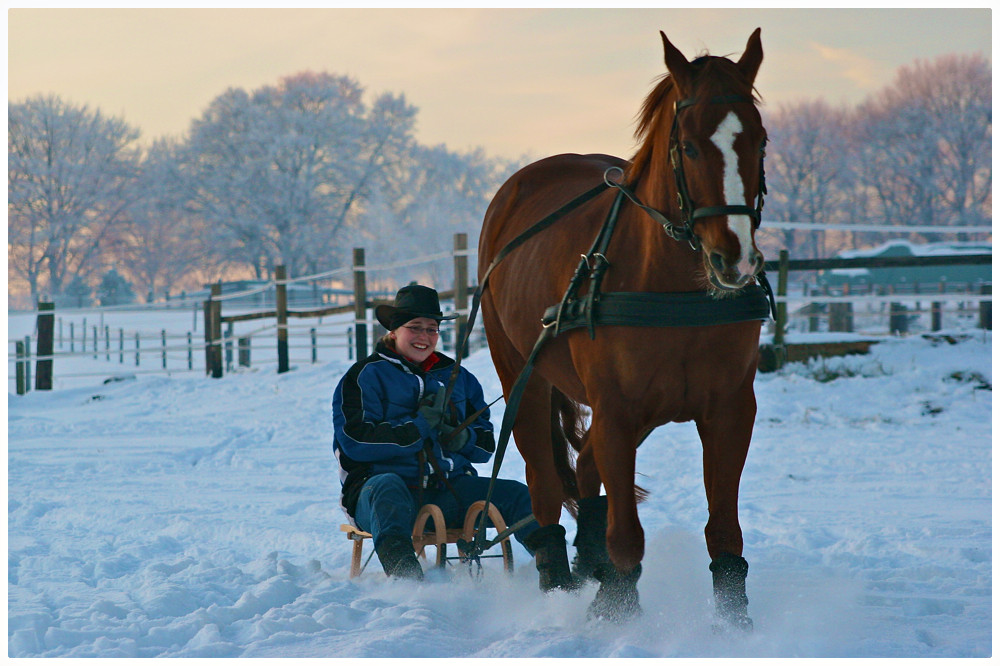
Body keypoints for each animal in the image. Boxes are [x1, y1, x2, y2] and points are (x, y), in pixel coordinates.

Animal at [476, 28, 764, 624]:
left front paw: (734, 621)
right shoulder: (616, 408)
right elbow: (628, 537)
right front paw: (617, 610)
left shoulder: (728, 409)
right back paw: (558, 579)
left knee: (586, 471)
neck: (675, 291)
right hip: (522, 374)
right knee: (544, 482)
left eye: (760, 141)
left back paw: (590, 560)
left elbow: (724, 531)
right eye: (689, 147)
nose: (736, 260)